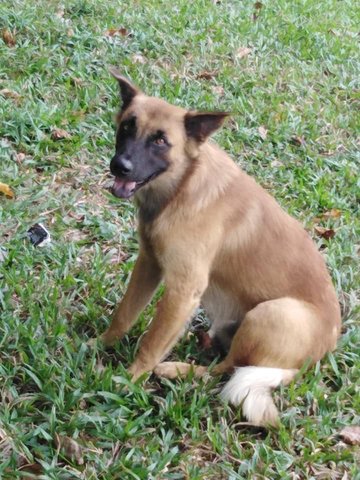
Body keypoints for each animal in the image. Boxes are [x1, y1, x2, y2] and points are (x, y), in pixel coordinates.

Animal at [100, 69, 342, 426]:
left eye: (160, 140)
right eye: (128, 125)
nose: (120, 166)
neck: (181, 188)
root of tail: (303, 366)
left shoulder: (184, 289)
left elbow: (152, 343)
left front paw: (130, 380)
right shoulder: (149, 264)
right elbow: (124, 315)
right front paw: (99, 344)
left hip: (272, 313)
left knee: (228, 368)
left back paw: (176, 369)